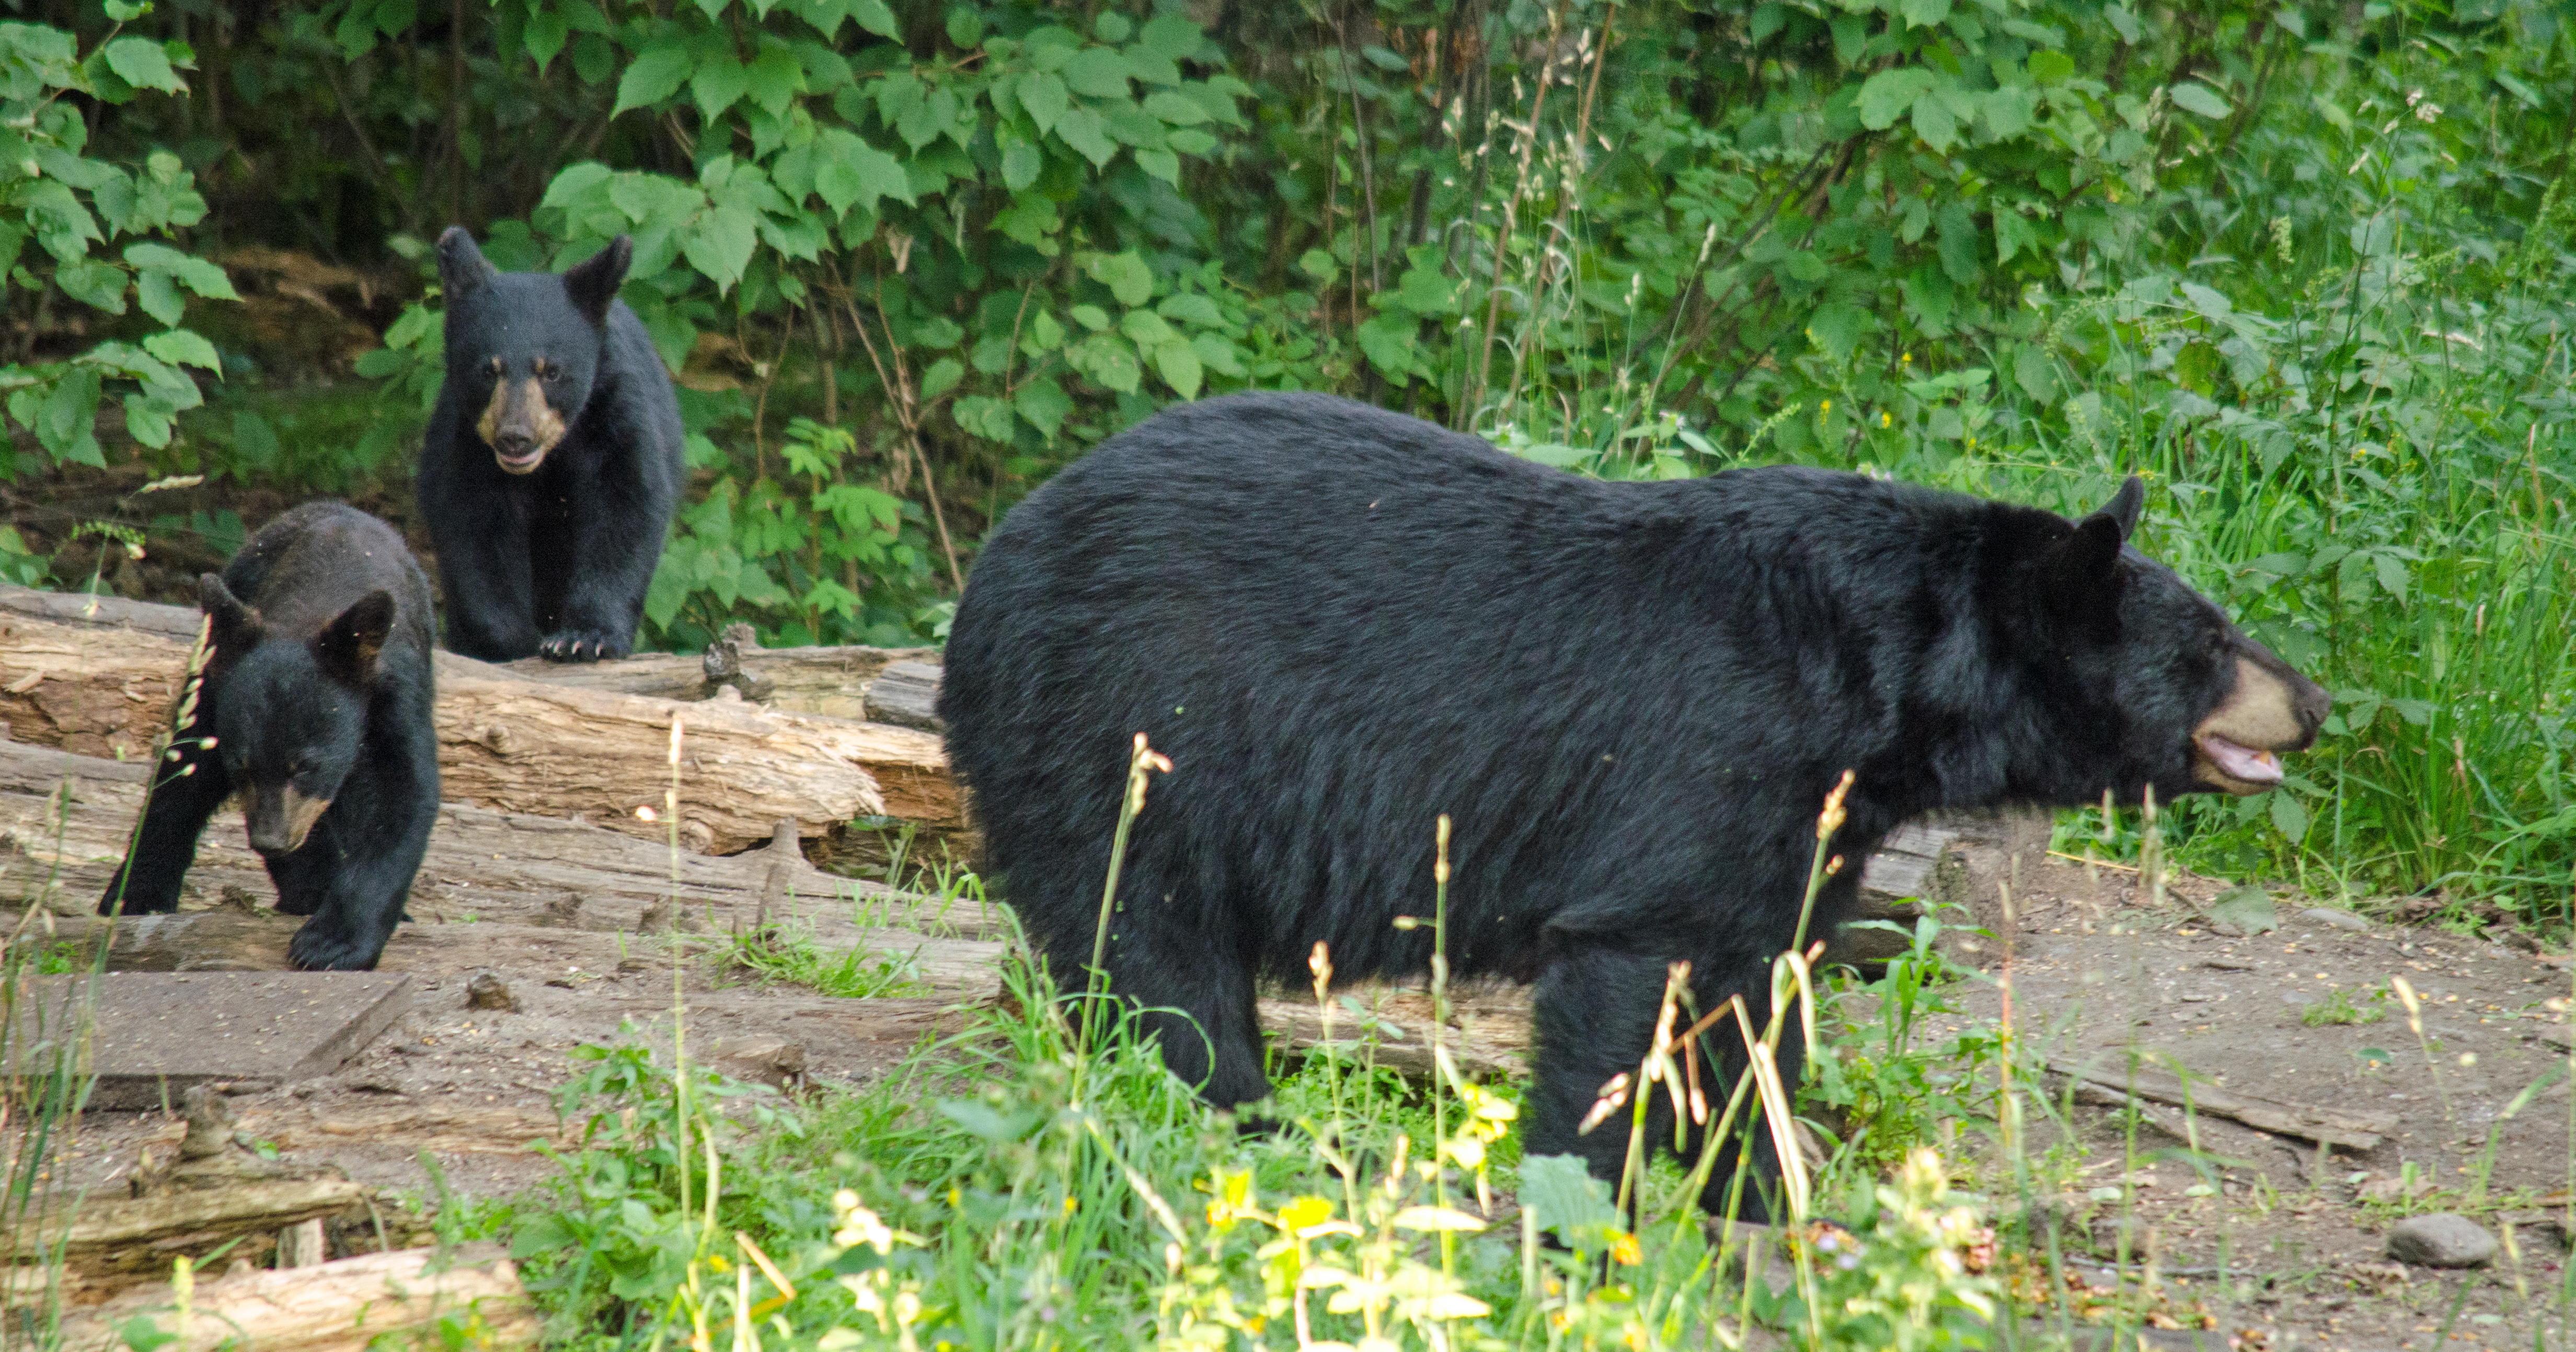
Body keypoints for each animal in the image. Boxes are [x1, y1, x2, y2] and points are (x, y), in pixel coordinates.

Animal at [100, 499, 440, 963]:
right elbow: (189, 773)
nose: (271, 841)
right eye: (241, 765)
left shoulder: (393, 695)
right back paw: (136, 893)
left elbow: (400, 795)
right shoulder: (219, 690)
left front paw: (331, 943)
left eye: (308, 766)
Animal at [420, 232, 685, 664]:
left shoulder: (614, 413)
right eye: (489, 370)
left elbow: (625, 508)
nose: (516, 437)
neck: (552, 455)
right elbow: (474, 525)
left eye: (552, 371)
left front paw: (585, 637)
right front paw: (512, 643)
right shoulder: (467, 442)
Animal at [942, 388, 2339, 1210]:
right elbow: (1632, 980)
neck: (1882, 687)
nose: (2320, 700)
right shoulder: (1708, 769)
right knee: (1154, 957)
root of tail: (986, 577)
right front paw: (1590, 1210)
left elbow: (1757, 997)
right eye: (2210, 644)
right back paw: (1254, 1125)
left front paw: (1760, 1192)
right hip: (1131, 735)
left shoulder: (1805, 826)